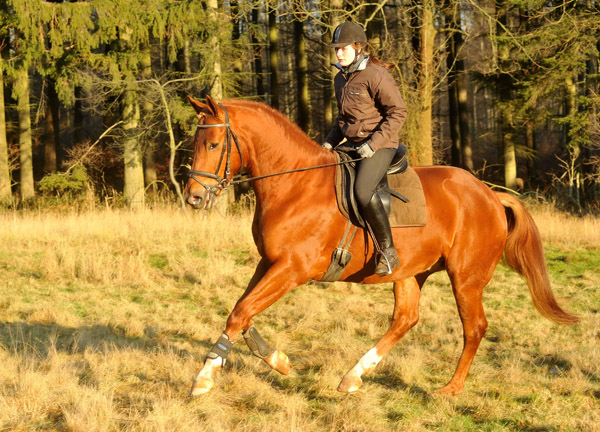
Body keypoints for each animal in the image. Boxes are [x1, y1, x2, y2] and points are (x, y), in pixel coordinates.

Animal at [183, 96, 576, 396]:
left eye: (214, 144)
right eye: (194, 143)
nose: (193, 197)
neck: (294, 185)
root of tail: (491, 195)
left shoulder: (292, 269)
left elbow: (241, 312)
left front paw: (203, 380)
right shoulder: (269, 262)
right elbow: (242, 310)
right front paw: (275, 360)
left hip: (466, 278)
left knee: (474, 327)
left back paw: (450, 389)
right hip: (410, 272)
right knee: (406, 319)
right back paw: (353, 376)